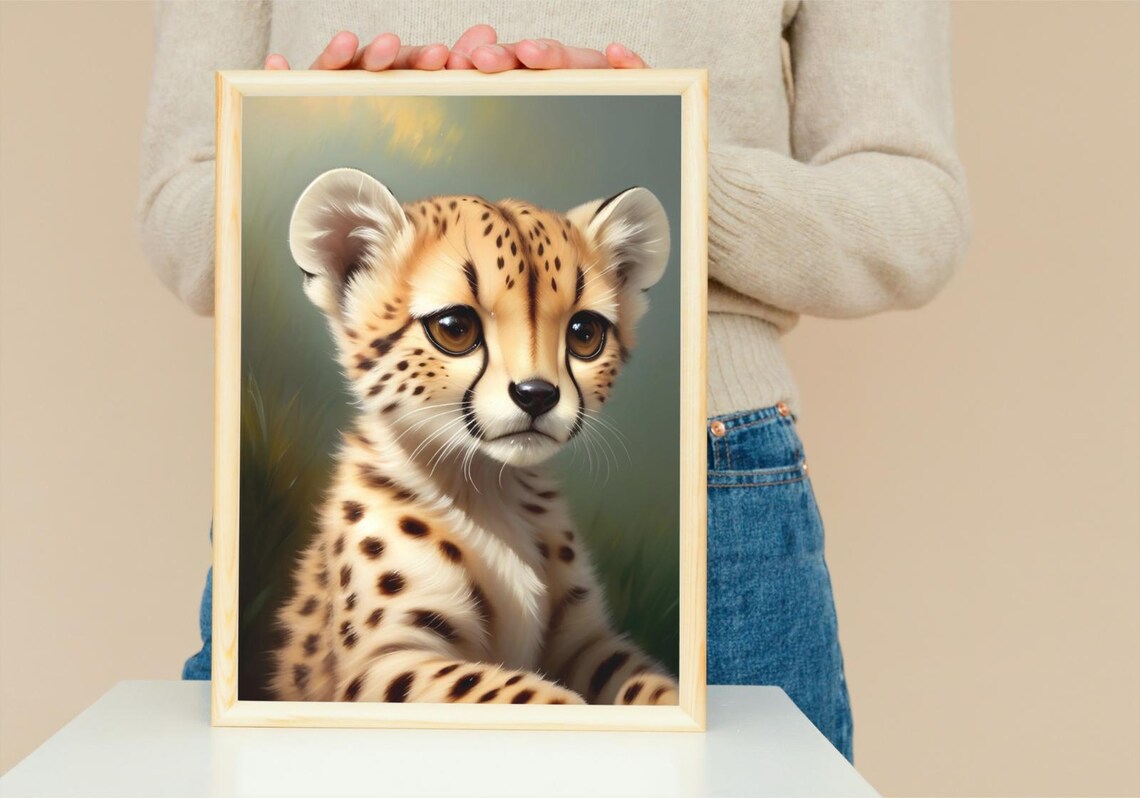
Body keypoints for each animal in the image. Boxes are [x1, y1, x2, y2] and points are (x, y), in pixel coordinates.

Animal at [268, 167, 677, 706]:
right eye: (455, 328)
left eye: (584, 333)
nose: (536, 395)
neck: (488, 486)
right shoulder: (382, 661)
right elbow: (521, 693)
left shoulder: (586, 642)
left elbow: (647, 684)